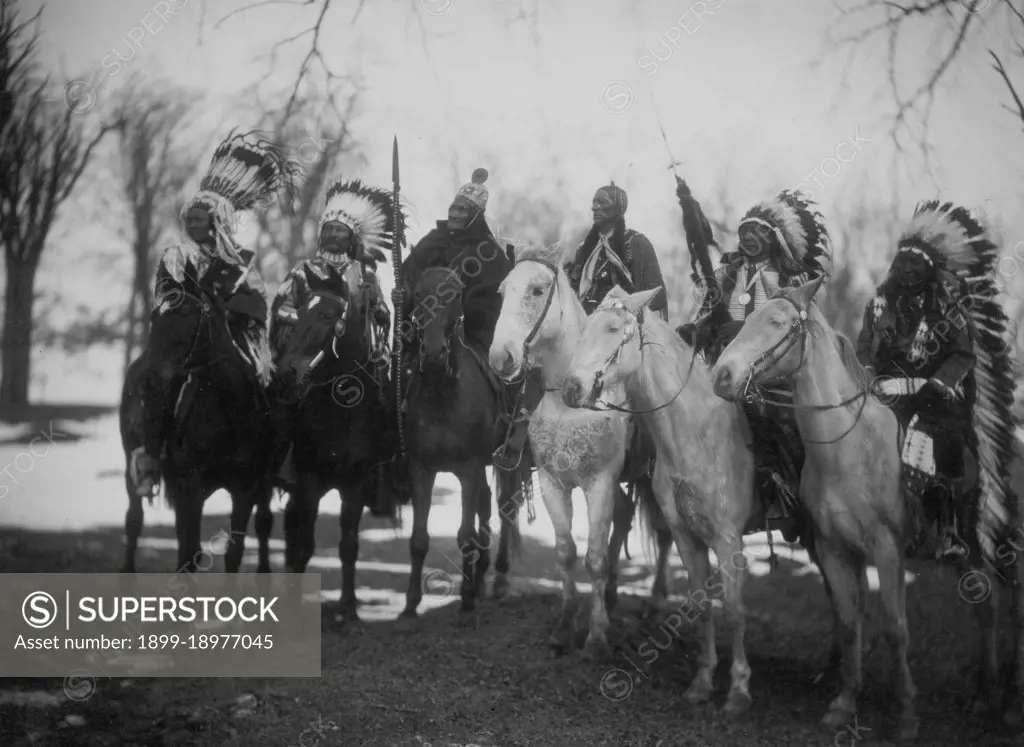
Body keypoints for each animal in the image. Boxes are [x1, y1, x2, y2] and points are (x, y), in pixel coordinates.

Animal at [280, 259, 407, 618]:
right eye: (298, 313)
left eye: (326, 315)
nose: (287, 372)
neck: (342, 406)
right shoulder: (308, 480)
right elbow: (305, 544)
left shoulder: (355, 482)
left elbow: (349, 545)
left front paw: (348, 608)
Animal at [395, 264, 528, 627]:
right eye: (419, 293)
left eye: (455, 295)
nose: (434, 354)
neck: (442, 391)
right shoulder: (421, 470)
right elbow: (419, 539)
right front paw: (410, 605)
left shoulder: (467, 469)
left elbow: (465, 534)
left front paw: (467, 602)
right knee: (487, 502)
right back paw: (481, 576)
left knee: (506, 506)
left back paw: (498, 577)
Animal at [489, 241, 679, 655]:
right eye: (502, 291)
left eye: (537, 290)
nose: (501, 358)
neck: (569, 400)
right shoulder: (553, 483)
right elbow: (566, 553)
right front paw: (565, 623)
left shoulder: (600, 483)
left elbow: (593, 557)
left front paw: (596, 634)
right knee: (624, 519)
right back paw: (611, 594)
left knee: (661, 531)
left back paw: (655, 600)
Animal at [561, 282, 761, 713]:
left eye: (613, 328)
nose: (571, 388)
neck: (693, 433)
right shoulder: (686, 536)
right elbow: (701, 609)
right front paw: (702, 682)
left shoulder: (728, 539)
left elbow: (734, 612)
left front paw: (738, 690)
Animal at [712, 274, 1024, 741]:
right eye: (747, 319)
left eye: (777, 322)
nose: (722, 376)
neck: (846, 448)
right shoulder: (834, 549)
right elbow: (847, 622)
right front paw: (844, 703)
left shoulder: (887, 550)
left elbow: (896, 629)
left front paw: (907, 715)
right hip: (969, 551)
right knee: (986, 610)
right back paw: (985, 696)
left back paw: (1012, 707)